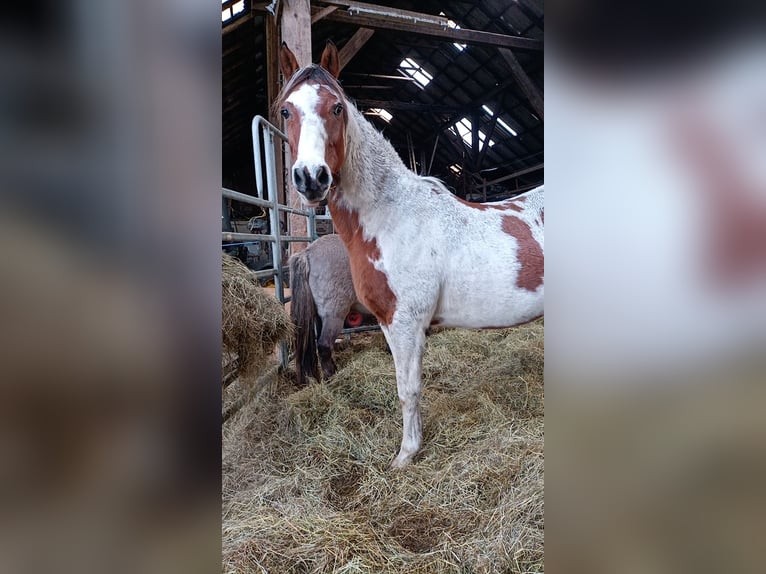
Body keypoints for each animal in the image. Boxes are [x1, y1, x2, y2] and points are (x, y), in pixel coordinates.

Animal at [280, 42, 544, 470]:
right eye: (286, 111)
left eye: (336, 108)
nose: (311, 177)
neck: (391, 215)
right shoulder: (389, 323)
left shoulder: (405, 322)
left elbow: (408, 389)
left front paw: (405, 455)